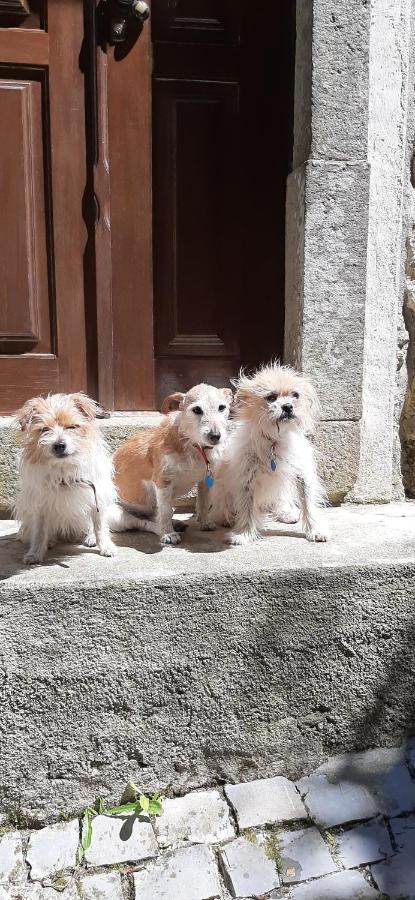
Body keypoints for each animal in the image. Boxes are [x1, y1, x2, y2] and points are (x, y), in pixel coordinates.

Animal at [14, 392, 117, 564]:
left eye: (72, 427)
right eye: (44, 429)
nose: (59, 445)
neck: (64, 468)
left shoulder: (97, 497)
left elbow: (100, 526)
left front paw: (105, 546)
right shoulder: (41, 505)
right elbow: (39, 532)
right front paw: (35, 553)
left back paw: (90, 537)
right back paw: (49, 540)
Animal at [109, 384, 234, 544]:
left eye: (222, 407)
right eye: (197, 410)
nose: (215, 436)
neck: (193, 446)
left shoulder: (205, 481)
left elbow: (204, 503)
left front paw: (204, 522)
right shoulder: (163, 481)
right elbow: (166, 511)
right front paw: (168, 533)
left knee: (151, 517)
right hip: (117, 515)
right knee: (142, 523)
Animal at [211, 362, 328, 544]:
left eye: (295, 395)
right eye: (271, 398)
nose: (288, 406)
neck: (275, 440)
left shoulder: (302, 475)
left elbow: (309, 504)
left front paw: (315, 530)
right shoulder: (246, 479)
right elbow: (246, 508)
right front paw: (244, 534)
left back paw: (286, 513)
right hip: (222, 491)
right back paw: (226, 517)